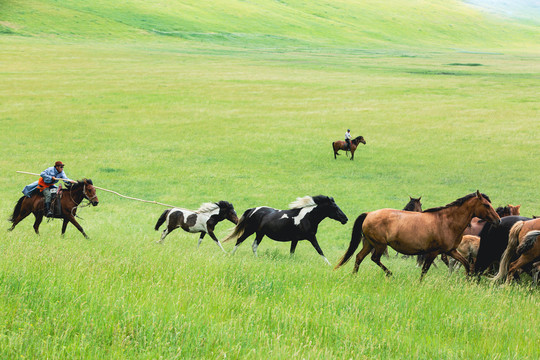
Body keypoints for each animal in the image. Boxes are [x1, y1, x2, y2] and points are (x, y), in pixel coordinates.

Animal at [336, 191, 500, 282]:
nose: (498, 220)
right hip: (379, 245)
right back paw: (390, 274)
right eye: (486, 205)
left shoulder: (451, 251)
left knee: (359, 257)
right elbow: (424, 270)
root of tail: (369, 214)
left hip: (369, 244)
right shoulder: (433, 252)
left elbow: (465, 263)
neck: (447, 222)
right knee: (374, 258)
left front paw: (468, 279)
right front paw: (420, 284)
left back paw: (354, 276)